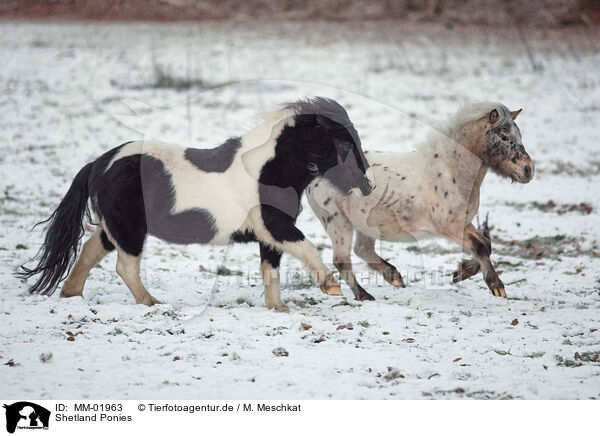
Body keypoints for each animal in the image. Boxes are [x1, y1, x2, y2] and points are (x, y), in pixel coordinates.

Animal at [17, 97, 376, 312]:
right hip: (129, 228)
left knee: (89, 252)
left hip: (114, 227)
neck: (265, 170)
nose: (368, 185)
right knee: (125, 266)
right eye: (345, 144)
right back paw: (151, 302)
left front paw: (279, 309)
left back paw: (72, 295)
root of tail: (99, 164)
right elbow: (306, 248)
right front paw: (330, 286)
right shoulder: (275, 225)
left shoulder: (269, 234)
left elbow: (270, 271)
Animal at [310, 102, 536, 300]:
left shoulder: (463, 223)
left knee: (363, 250)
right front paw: (496, 286)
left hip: (365, 224)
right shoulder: (448, 227)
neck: (452, 170)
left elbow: (486, 244)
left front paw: (460, 273)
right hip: (338, 222)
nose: (529, 170)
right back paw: (364, 295)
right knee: (342, 261)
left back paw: (393, 277)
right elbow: (480, 247)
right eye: (504, 136)